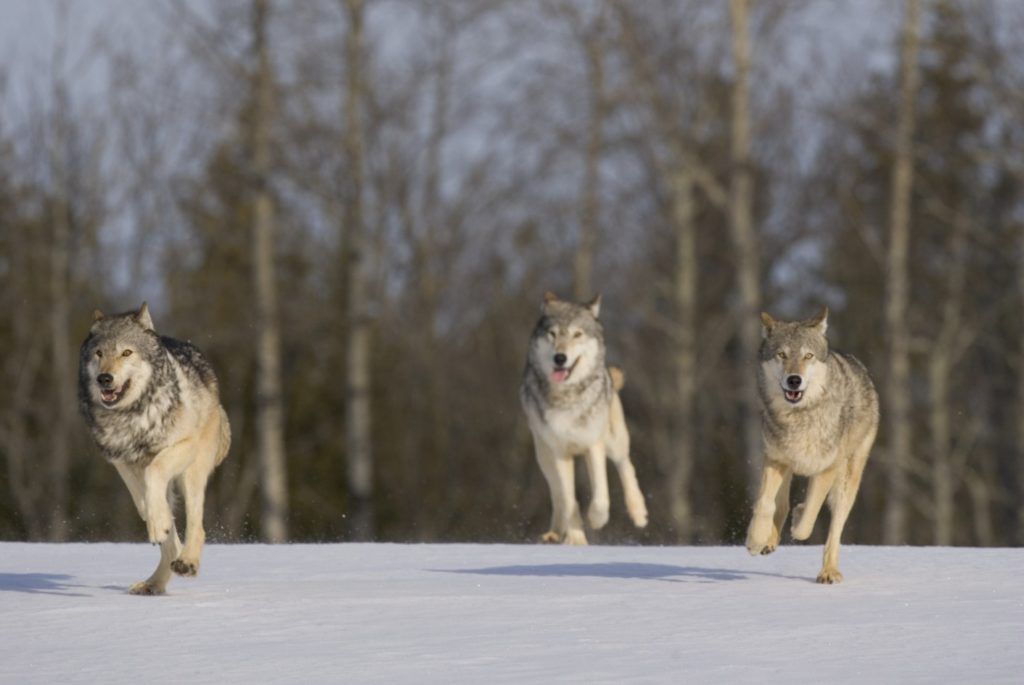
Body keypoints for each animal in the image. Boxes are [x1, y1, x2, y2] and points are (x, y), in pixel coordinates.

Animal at [79, 303, 230, 595]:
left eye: (126, 352)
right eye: (99, 353)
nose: (105, 378)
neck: (131, 416)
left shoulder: (183, 446)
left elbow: (155, 470)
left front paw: (159, 523)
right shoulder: (121, 460)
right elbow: (144, 501)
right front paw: (157, 522)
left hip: (192, 471)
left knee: (197, 524)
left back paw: (187, 562)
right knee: (169, 534)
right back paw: (155, 581)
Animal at [520, 292, 648, 545]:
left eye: (577, 334)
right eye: (553, 334)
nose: (560, 358)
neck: (566, 398)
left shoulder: (593, 445)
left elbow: (601, 495)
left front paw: (597, 520)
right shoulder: (559, 454)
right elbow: (569, 500)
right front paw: (576, 539)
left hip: (613, 440)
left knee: (625, 466)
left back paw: (639, 513)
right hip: (544, 457)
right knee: (557, 494)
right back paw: (554, 533)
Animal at [745, 307, 879, 583]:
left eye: (808, 356)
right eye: (782, 355)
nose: (794, 380)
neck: (800, 417)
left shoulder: (826, 469)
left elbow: (808, 519)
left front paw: (799, 519)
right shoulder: (775, 459)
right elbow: (765, 504)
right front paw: (755, 540)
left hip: (847, 481)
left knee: (834, 528)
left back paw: (828, 572)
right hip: (787, 466)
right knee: (781, 503)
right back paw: (769, 541)